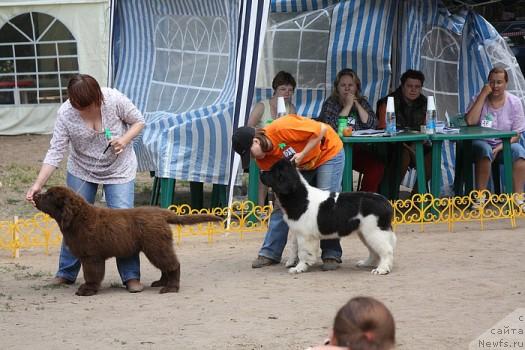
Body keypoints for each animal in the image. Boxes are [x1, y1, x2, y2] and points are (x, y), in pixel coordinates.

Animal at [32, 186, 221, 296]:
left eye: (49, 196)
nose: (35, 195)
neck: (78, 219)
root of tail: (161, 213)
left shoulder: (91, 257)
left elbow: (91, 274)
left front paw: (87, 290)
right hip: (157, 246)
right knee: (166, 266)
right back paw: (161, 282)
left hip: (156, 246)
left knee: (173, 265)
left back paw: (170, 288)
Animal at [260, 160, 396, 274]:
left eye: (273, 172)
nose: (261, 173)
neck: (299, 196)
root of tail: (386, 202)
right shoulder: (297, 231)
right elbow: (294, 247)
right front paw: (292, 263)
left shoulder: (305, 235)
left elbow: (303, 252)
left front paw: (300, 267)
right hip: (365, 233)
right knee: (374, 251)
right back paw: (366, 263)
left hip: (374, 232)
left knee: (386, 250)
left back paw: (382, 269)